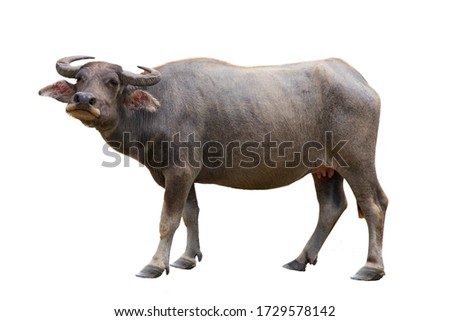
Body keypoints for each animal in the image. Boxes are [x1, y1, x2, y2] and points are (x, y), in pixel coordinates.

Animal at [39, 55, 386, 280]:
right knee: (332, 206)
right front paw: (186, 258)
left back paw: (371, 268)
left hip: (356, 160)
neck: (156, 109)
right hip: (325, 169)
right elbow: (190, 214)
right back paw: (300, 260)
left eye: (112, 82)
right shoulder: (179, 175)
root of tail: (361, 83)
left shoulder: (179, 171)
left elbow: (168, 220)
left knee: (373, 204)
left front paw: (155, 265)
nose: (84, 100)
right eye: (80, 79)